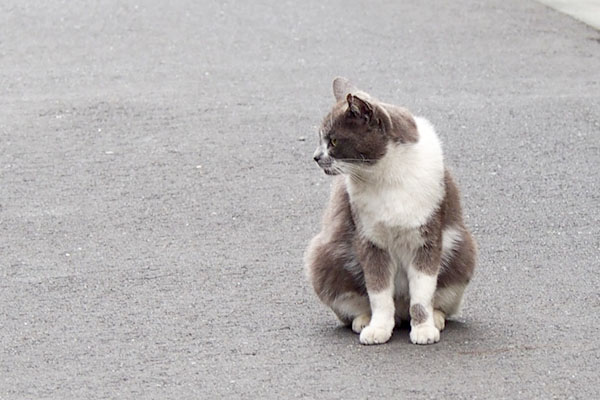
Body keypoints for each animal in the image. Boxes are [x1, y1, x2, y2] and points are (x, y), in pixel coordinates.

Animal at [308, 77, 476, 344]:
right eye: (320, 139)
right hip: (324, 256)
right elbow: (378, 292)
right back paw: (364, 320)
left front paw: (424, 329)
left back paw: (436, 318)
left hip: (463, 251)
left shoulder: (426, 239)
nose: (315, 156)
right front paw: (378, 329)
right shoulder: (370, 240)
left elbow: (422, 294)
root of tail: (401, 315)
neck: (383, 178)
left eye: (333, 140)